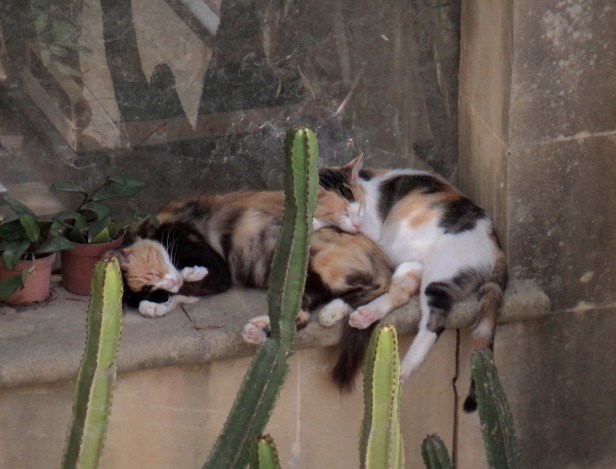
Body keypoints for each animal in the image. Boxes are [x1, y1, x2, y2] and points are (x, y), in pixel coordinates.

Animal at [119, 191, 392, 348]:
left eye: (154, 274)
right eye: (154, 291)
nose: (168, 285)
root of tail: (379, 254)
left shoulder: (219, 271)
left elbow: (191, 284)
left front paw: (181, 283)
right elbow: (185, 294)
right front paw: (155, 307)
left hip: (323, 264)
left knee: (367, 288)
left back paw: (334, 311)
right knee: (299, 316)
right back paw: (257, 330)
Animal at [317, 155, 507, 410]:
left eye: (360, 209)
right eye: (345, 212)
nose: (356, 223)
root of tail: (497, 247)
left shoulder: (370, 231)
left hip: (440, 275)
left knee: (434, 323)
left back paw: (404, 368)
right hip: (414, 267)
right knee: (395, 293)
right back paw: (354, 314)